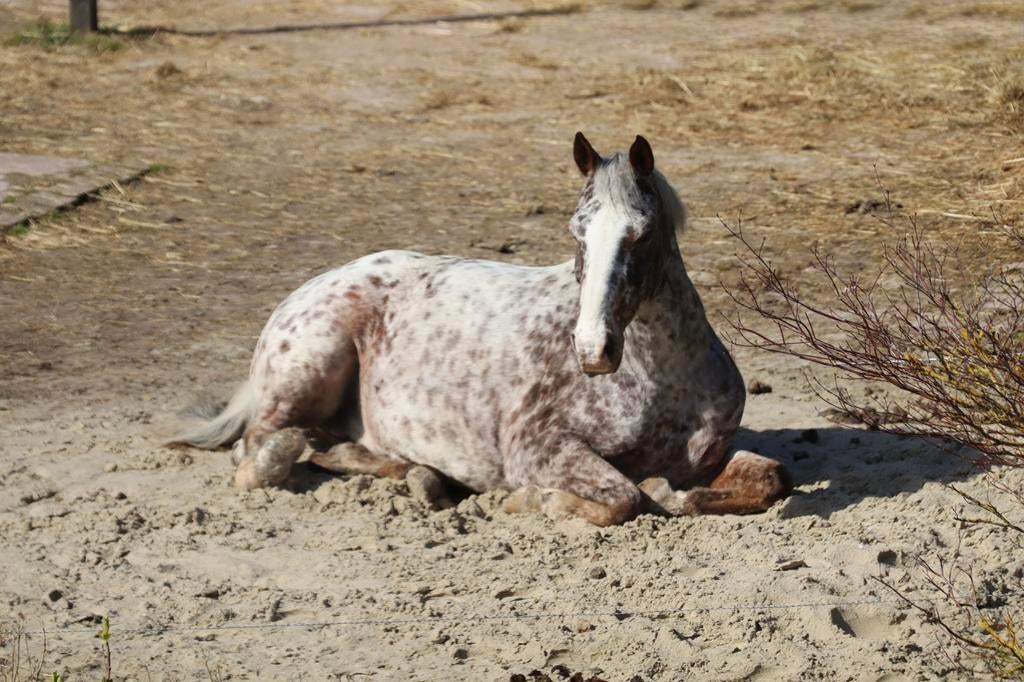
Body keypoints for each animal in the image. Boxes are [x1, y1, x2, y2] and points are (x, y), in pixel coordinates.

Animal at [169, 133, 791, 526]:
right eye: (576, 233)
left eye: (640, 233)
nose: (593, 351)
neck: (660, 381)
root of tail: (305, 291)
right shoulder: (538, 448)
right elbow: (624, 497)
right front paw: (535, 503)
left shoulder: (707, 457)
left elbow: (768, 478)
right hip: (311, 365)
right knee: (261, 453)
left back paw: (421, 476)